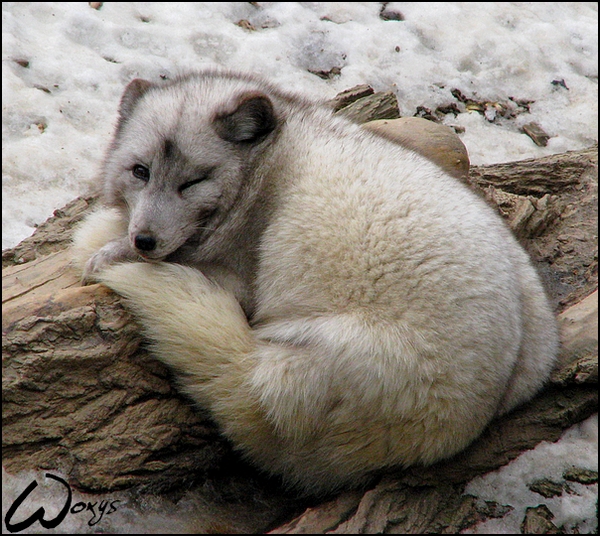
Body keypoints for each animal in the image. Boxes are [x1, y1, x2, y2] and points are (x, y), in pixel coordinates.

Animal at [72, 69, 560, 496]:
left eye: (193, 182)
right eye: (140, 171)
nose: (145, 240)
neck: (264, 166)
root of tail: (463, 424)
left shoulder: (238, 277)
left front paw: (108, 251)